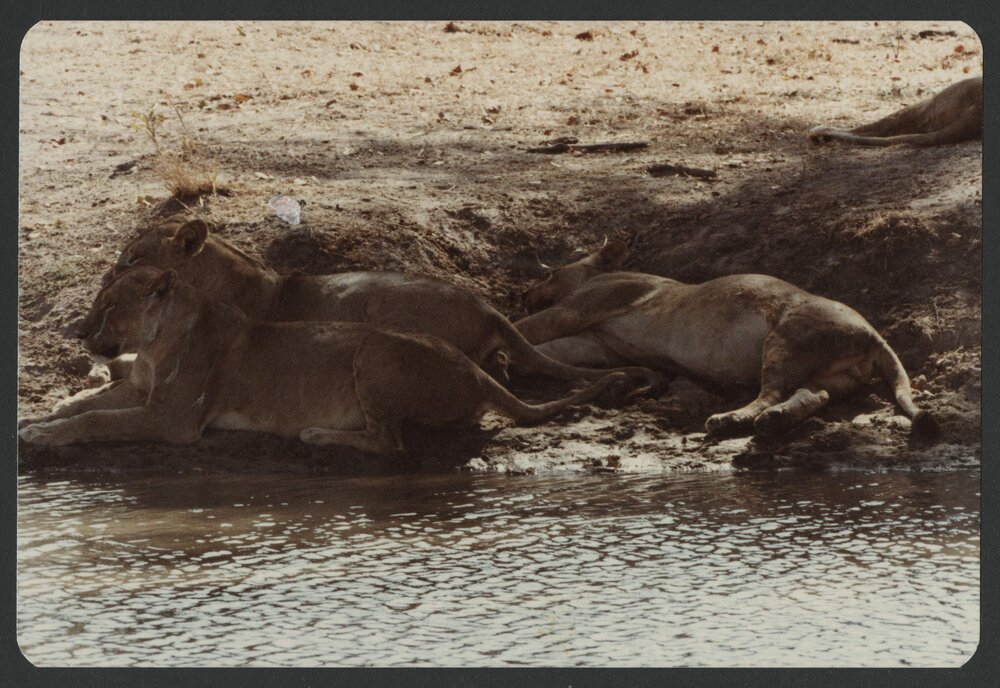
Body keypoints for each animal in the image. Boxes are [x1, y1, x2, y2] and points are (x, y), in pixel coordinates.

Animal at [19, 268, 626, 453]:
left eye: (110, 307)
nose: (78, 332)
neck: (152, 344)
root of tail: (473, 368)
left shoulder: (171, 419)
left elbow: (99, 420)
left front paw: (44, 434)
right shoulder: (142, 390)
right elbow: (88, 400)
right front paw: (41, 415)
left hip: (375, 349)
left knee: (389, 441)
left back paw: (317, 434)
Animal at [516, 240, 939, 439]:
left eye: (550, 272)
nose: (523, 292)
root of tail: (873, 333)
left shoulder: (582, 307)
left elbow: (529, 329)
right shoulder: (594, 342)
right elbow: (547, 351)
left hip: (785, 339)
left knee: (770, 392)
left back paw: (730, 419)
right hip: (831, 373)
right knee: (813, 394)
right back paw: (774, 421)